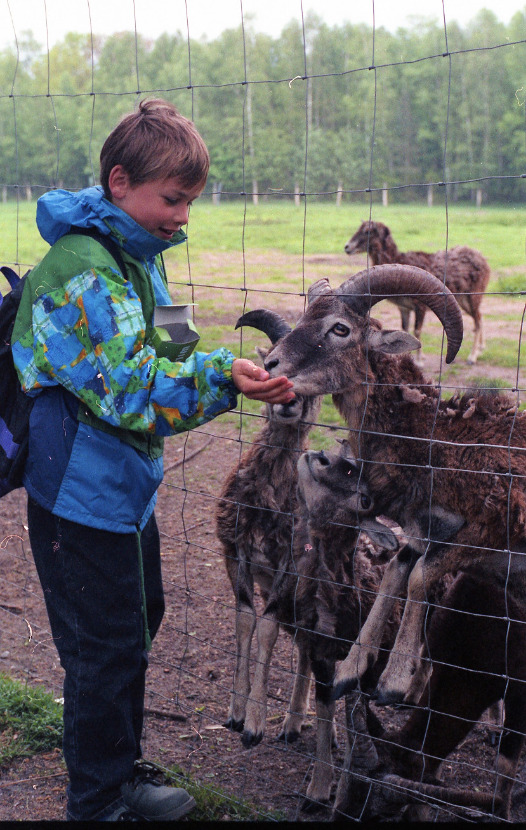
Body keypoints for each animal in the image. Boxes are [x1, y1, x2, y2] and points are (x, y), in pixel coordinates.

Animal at [346, 221, 490, 364]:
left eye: (368, 231)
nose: (347, 247)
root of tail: (482, 258)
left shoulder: (419, 306)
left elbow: (417, 330)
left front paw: (420, 360)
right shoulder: (404, 308)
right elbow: (405, 329)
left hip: (472, 297)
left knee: (477, 321)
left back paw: (472, 357)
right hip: (462, 300)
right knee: (480, 317)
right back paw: (481, 349)